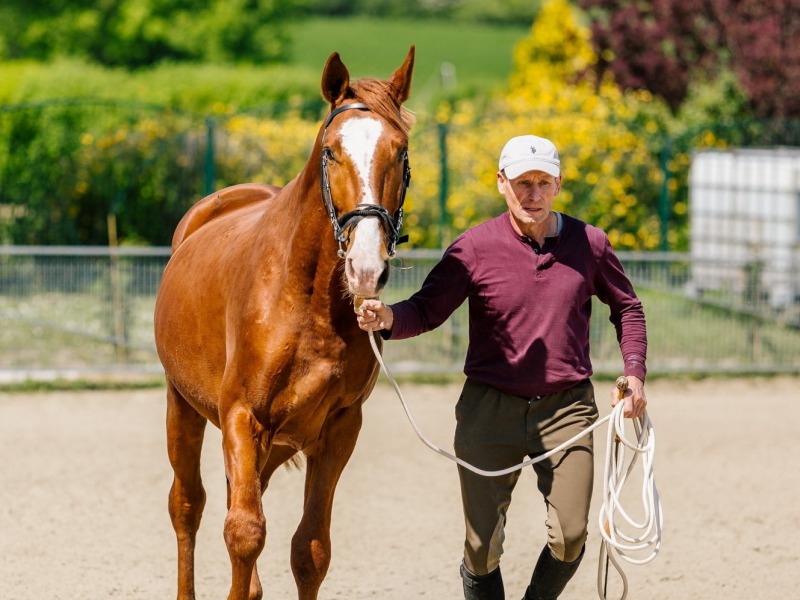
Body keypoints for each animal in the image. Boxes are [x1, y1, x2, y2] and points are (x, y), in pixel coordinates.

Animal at [155, 48, 416, 600]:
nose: (366, 267)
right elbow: (243, 533)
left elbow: (310, 551)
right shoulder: (242, 417)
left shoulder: (339, 429)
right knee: (188, 506)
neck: (308, 301)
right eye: (331, 151)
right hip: (182, 405)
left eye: (400, 151)